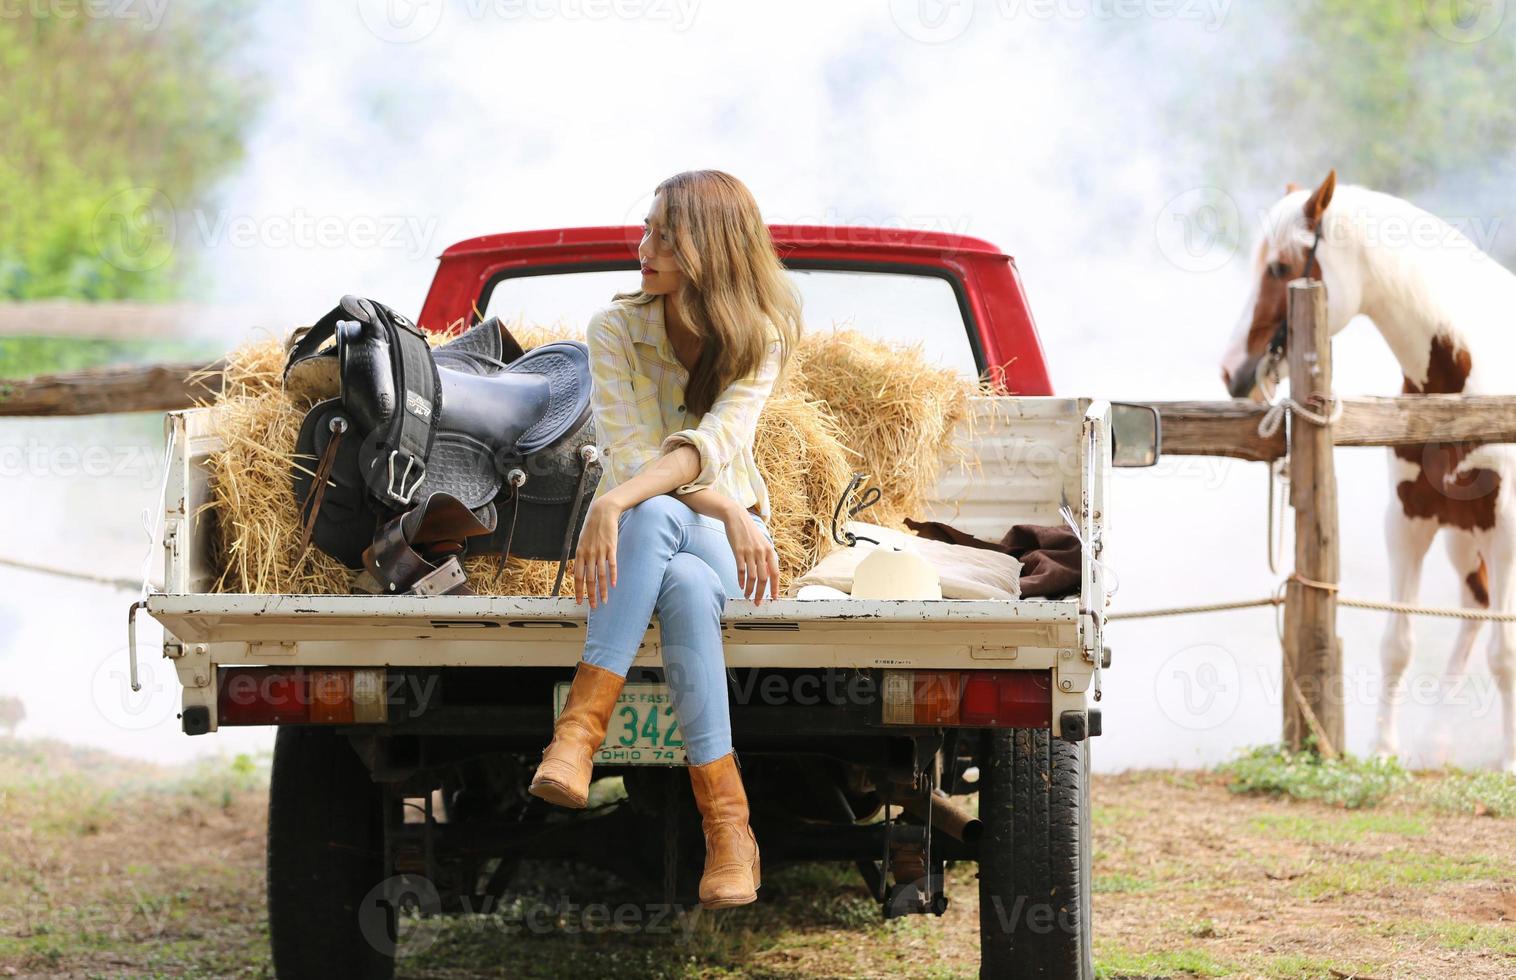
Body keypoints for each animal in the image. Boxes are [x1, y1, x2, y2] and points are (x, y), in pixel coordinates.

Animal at [1218, 174, 1516, 776]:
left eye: (1280, 267)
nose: (1231, 368)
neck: (1459, 382)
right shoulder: (1410, 520)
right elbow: (1397, 641)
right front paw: (1384, 748)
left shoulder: (1504, 528)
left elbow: (1506, 654)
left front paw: (1509, 761)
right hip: (1462, 539)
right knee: (1472, 608)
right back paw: (1437, 738)